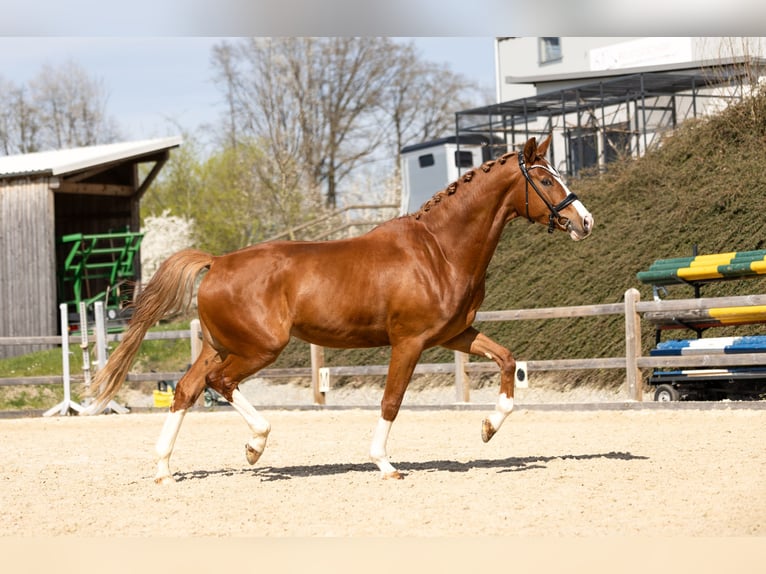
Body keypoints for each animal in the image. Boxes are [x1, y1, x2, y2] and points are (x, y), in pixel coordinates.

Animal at [84, 134, 594, 482]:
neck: (440, 251)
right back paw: (254, 447)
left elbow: (507, 361)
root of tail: (219, 261)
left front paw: (488, 427)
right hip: (259, 349)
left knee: (187, 389)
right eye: (545, 179)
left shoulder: (455, 334)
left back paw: (165, 469)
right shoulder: (409, 343)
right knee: (218, 384)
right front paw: (385, 464)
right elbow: (391, 401)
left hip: (220, 345)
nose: (584, 221)